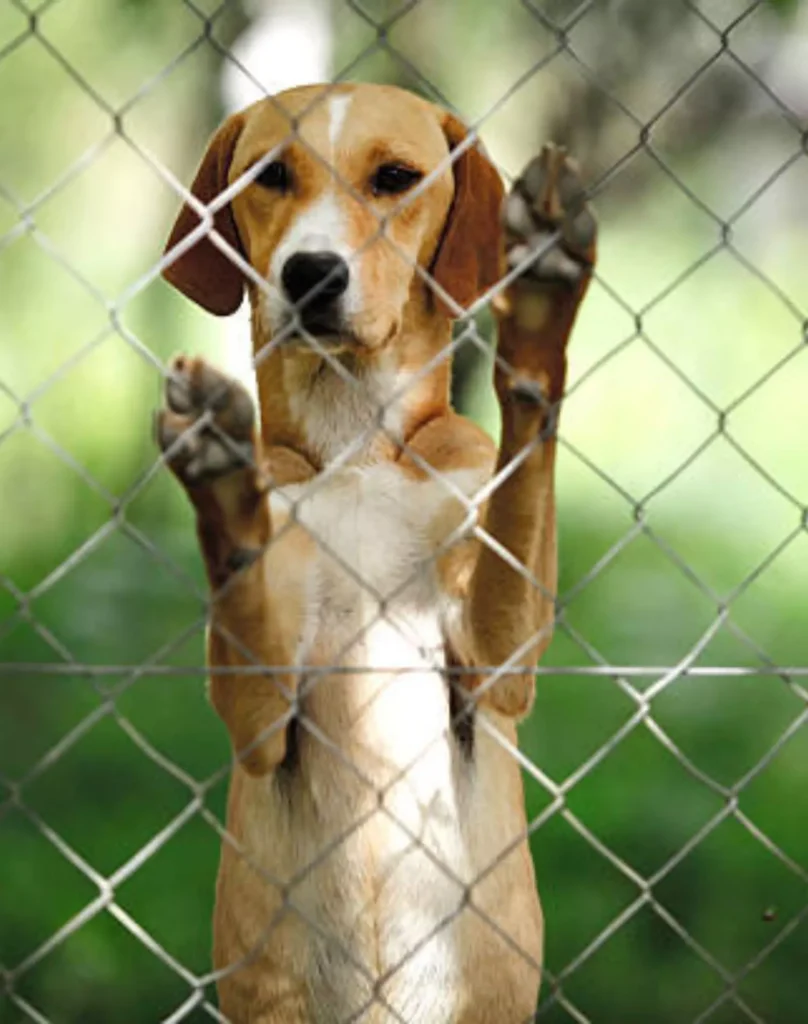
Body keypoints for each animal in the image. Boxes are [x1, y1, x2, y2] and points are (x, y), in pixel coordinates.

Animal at [155, 81, 593, 1024]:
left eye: (395, 178)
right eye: (269, 174)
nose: (310, 274)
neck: (353, 438)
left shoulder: (497, 660)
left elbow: (522, 470)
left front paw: (540, 314)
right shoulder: (260, 716)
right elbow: (242, 587)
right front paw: (222, 481)